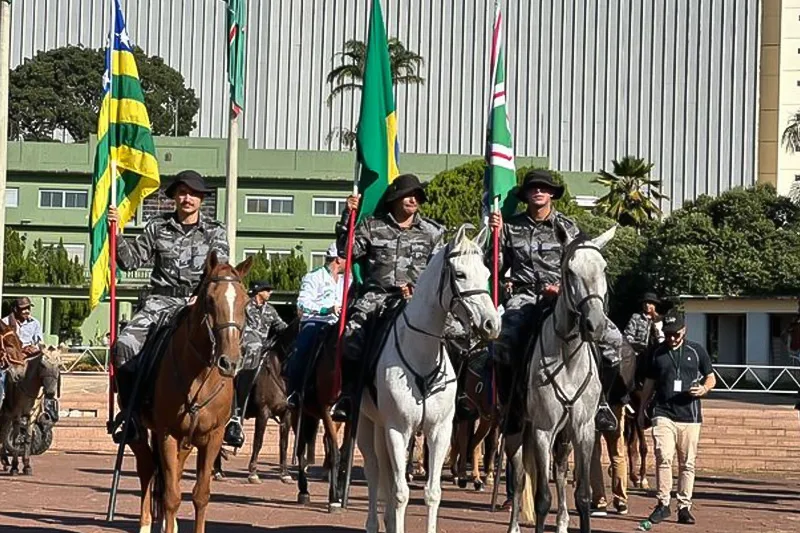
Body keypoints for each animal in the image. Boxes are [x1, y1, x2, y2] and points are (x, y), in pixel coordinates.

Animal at [0, 347, 60, 475]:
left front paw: (26, 466)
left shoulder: (32, 414)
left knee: (3, 432)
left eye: (59, 365)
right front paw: (15, 467)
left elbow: (27, 438)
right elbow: (17, 439)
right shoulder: (17, 414)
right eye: (42, 365)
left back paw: (5, 461)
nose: (50, 393)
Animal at [126, 252, 252, 533]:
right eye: (210, 300)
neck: (200, 375)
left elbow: (200, 494)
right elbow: (171, 496)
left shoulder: (213, 437)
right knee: (147, 469)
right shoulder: (167, 434)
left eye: (245, 302)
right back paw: (146, 524)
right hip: (141, 432)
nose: (230, 362)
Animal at [212, 319, 299, 484]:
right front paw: (253, 473)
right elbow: (258, 442)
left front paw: (285, 474)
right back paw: (218, 471)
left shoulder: (287, 414)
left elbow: (284, 444)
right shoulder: (263, 413)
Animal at [357, 224, 501, 533]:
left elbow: (432, 492)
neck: (421, 354)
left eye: (487, 273)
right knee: (374, 470)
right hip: (366, 421)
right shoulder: (399, 430)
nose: (491, 324)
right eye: (460, 274)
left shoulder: (439, 430)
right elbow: (400, 492)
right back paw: (374, 523)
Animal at [506, 226, 617, 533]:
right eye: (569, 271)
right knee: (518, 476)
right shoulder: (542, 430)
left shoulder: (583, 429)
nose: (595, 325)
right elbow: (542, 498)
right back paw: (514, 526)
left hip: (564, 436)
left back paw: (563, 523)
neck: (568, 359)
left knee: (560, 470)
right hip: (516, 432)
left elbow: (582, 495)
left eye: (604, 268)